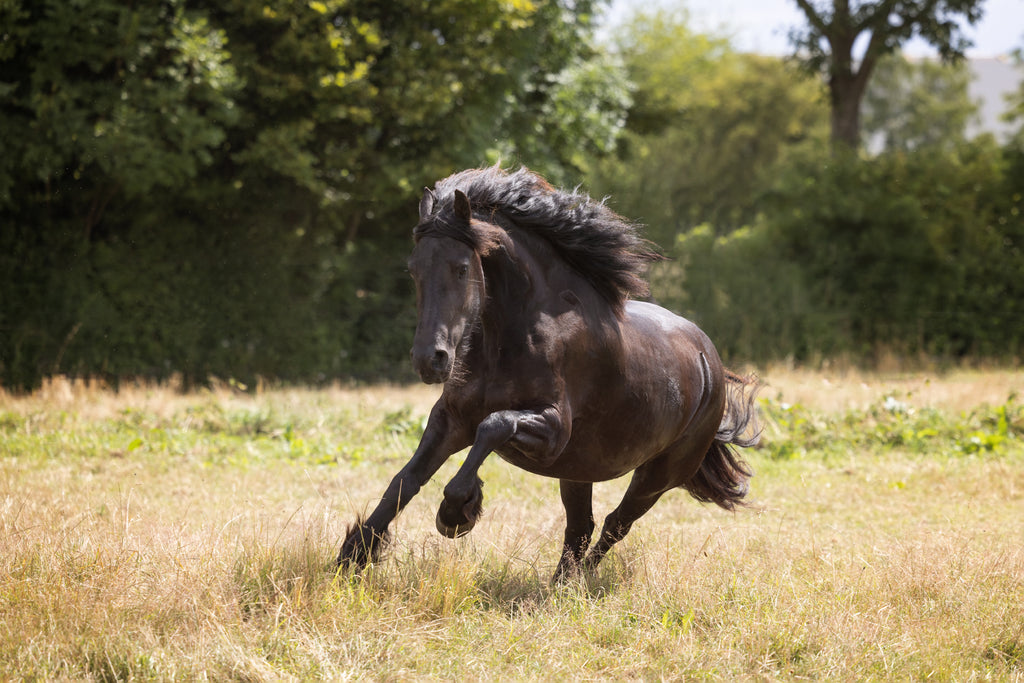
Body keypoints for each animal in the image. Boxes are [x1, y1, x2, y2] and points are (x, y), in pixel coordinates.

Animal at [337, 166, 761, 581]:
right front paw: (351, 557)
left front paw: (457, 512)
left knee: (615, 524)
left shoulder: (554, 430)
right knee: (582, 527)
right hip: (579, 468)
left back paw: (580, 580)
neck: (510, 337)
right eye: (413, 270)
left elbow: (494, 426)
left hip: (658, 474)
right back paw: (561, 586)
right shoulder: (451, 419)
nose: (431, 360)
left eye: (461, 268)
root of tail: (709, 359)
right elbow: (405, 481)